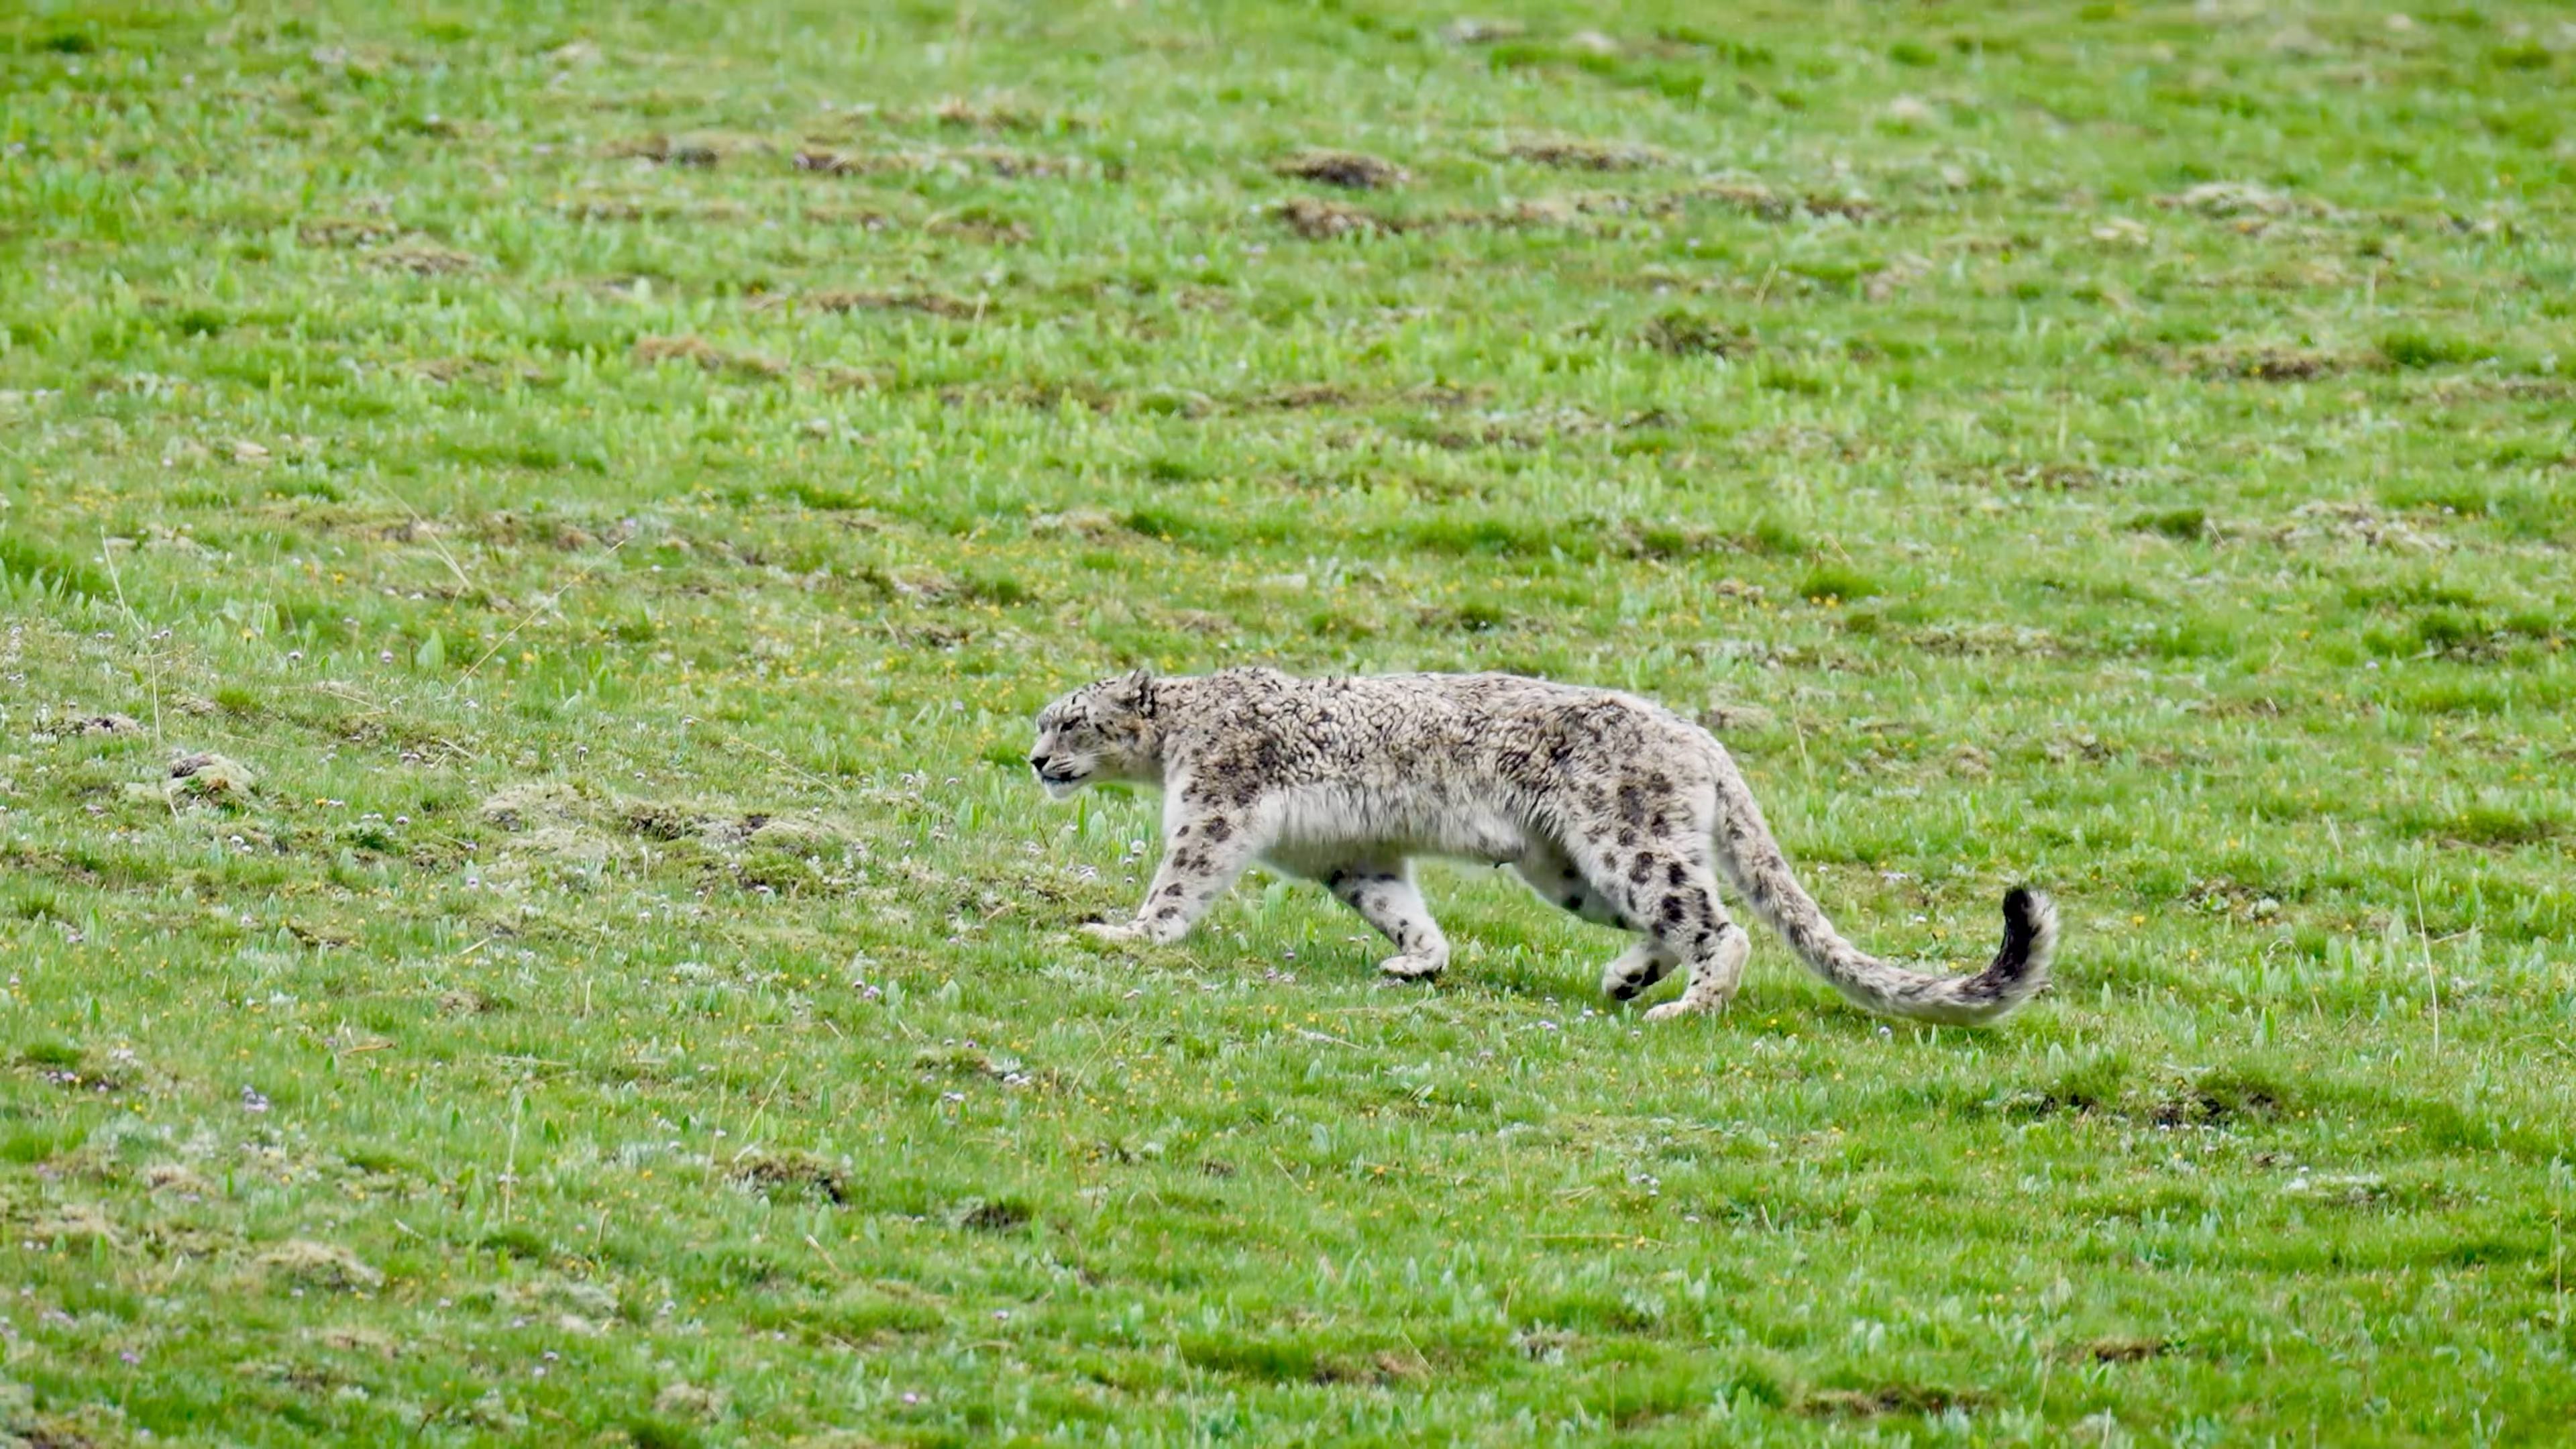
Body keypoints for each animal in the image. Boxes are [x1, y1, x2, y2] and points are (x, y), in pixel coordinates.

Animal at [1025, 665, 2050, 1016]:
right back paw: (1626, 980)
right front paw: (1420, 961)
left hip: (1627, 842)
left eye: (1069, 721)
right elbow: (1399, 907)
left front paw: (1125, 934)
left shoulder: (1217, 807)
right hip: (1565, 870)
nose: (1032, 759)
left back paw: (1686, 1007)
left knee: (1719, 924)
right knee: (1668, 924)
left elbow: (1180, 879)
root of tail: (1699, 736)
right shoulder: (1354, 857)